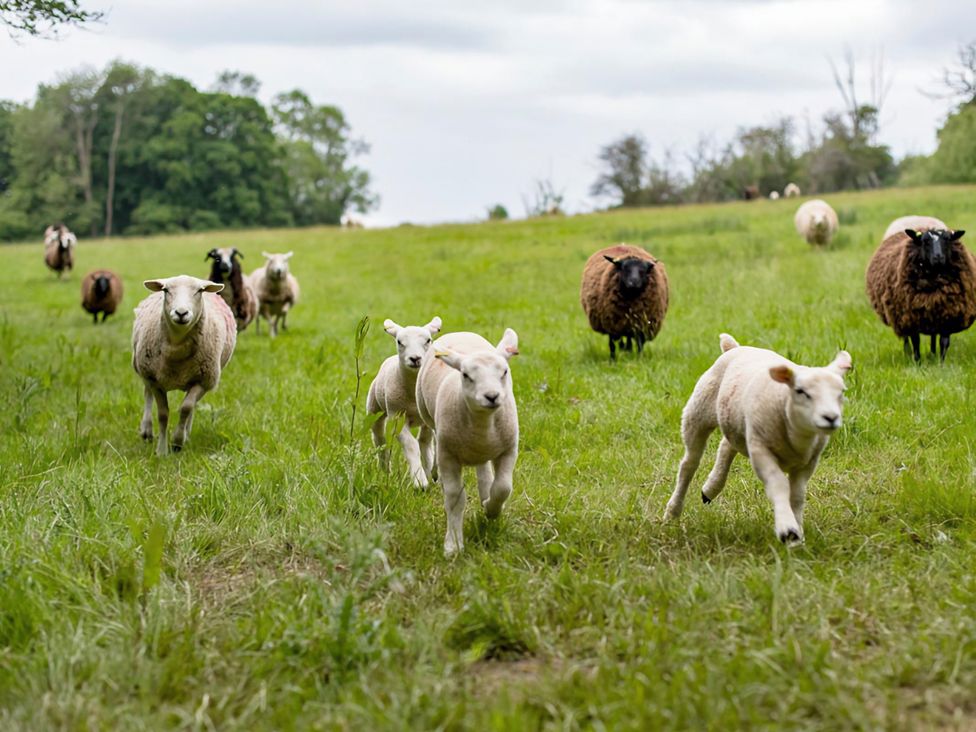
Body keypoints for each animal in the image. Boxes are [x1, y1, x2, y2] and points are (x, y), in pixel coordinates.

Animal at [131, 275, 237, 456]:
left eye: (199, 291)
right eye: (166, 290)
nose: (181, 313)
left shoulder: (203, 380)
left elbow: (186, 408)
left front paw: (178, 441)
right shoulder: (155, 381)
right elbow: (163, 414)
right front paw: (162, 450)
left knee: (191, 405)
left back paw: (185, 434)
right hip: (144, 368)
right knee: (147, 394)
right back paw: (146, 430)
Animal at [367, 316, 443, 487]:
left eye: (428, 340)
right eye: (399, 341)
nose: (415, 358)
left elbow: (435, 443)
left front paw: (434, 472)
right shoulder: (397, 417)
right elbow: (411, 446)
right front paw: (419, 481)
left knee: (425, 441)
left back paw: (431, 471)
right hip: (374, 408)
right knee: (379, 438)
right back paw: (385, 470)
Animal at [416, 328, 520, 556]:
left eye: (504, 372)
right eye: (466, 375)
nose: (492, 396)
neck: (483, 424)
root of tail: (460, 331)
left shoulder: (508, 450)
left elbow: (503, 488)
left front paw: (491, 509)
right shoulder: (448, 455)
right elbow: (455, 498)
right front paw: (453, 545)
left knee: (484, 471)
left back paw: (485, 493)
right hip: (428, 416)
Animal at [664, 334, 851, 544]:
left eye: (841, 392)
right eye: (801, 391)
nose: (831, 417)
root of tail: (735, 347)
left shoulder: (808, 462)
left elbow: (797, 496)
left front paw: (797, 532)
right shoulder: (760, 451)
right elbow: (779, 485)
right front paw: (787, 528)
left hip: (737, 423)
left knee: (726, 446)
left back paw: (710, 489)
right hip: (697, 412)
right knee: (689, 465)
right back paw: (672, 512)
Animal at [865, 227, 976, 362]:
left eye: (947, 239)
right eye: (925, 241)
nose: (938, 257)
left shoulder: (947, 316)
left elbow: (944, 343)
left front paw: (941, 363)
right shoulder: (911, 319)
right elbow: (915, 342)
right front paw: (917, 362)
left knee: (933, 335)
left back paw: (932, 353)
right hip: (898, 316)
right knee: (906, 338)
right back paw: (908, 354)